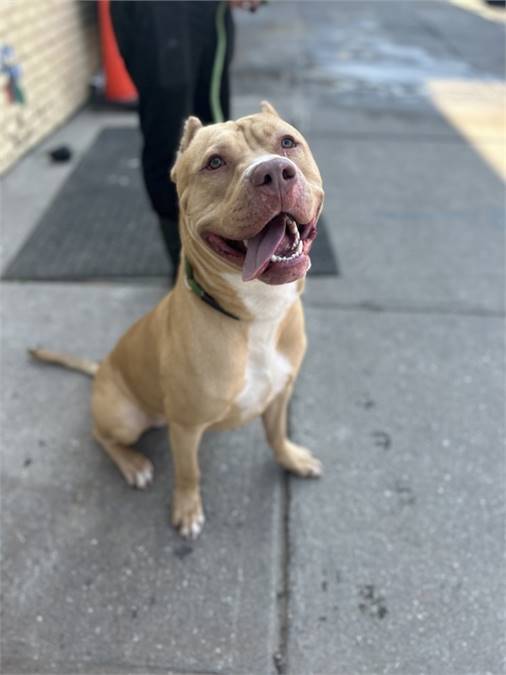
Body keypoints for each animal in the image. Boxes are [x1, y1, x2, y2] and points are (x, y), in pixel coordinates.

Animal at [30, 101, 324, 540]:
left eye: (288, 143)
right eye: (214, 162)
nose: (273, 172)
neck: (256, 314)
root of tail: (102, 368)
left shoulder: (280, 393)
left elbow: (276, 434)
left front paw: (291, 458)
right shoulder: (185, 427)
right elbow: (188, 472)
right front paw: (187, 509)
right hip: (124, 417)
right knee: (100, 434)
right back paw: (133, 464)